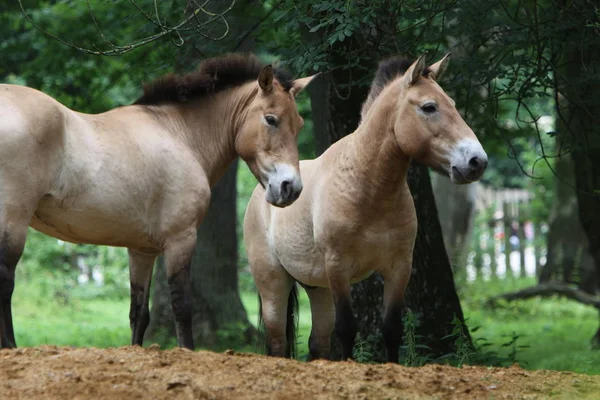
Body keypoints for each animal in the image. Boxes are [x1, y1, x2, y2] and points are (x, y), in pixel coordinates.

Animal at [0, 54, 318, 350]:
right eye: (271, 119)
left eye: (300, 124)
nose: (291, 187)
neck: (180, 134)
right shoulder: (181, 239)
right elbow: (182, 305)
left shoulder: (142, 250)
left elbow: (138, 312)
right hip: (13, 222)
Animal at [243, 54, 488, 362]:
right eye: (429, 107)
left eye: (453, 104)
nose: (477, 161)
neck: (368, 190)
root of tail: (264, 191)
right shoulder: (338, 267)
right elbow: (347, 328)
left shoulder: (399, 268)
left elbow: (392, 329)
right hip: (274, 285)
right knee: (278, 344)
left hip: (318, 288)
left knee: (317, 344)